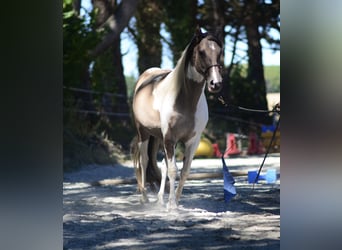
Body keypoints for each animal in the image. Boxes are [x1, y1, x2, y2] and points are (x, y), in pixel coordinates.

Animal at [132, 26, 224, 210]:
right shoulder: (170, 138)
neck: (184, 98)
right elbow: (173, 170)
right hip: (144, 133)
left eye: (220, 51)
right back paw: (145, 198)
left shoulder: (192, 141)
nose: (215, 83)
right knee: (144, 161)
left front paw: (175, 200)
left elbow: (184, 171)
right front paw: (172, 205)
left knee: (161, 165)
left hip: (158, 138)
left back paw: (160, 199)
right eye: (201, 52)